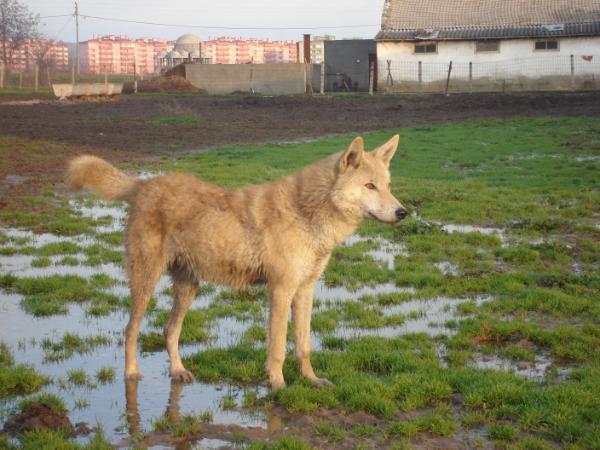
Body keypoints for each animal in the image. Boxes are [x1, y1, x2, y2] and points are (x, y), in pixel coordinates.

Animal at [69, 135, 408, 388]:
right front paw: (278, 385)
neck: (306, 212)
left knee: (168, 330)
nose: (403, 212)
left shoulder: (305, 290)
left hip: (188, 289)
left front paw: (311, 380)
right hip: (146, 284)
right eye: (369, 186)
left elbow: (304, 345)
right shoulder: (280, 291)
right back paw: (131, 374)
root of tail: (144, 184)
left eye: (388, 186)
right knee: (130, 330)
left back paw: (178, 371)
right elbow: (277, 347)